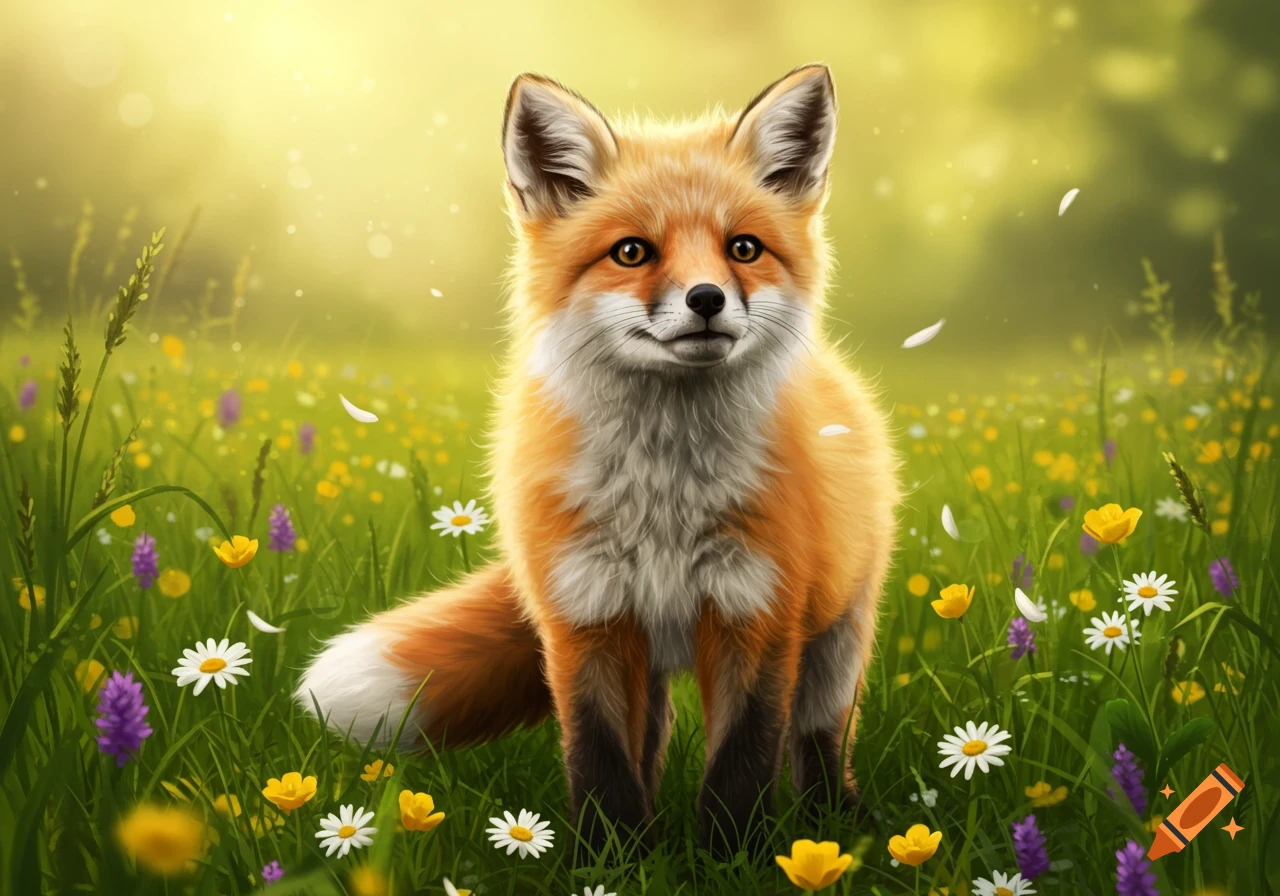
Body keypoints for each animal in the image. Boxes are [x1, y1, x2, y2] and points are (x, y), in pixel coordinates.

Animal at [296, 63, 899, 856]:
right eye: (632, 252)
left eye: (743, 248)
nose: (707, 299)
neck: (666, 494)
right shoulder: (584, 616)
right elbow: (601, 756)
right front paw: (608, 858)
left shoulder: (759, 615)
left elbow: (743, 760)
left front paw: (729, 857)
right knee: (655, 736)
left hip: (836, 639)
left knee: (820, 738)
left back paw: (838, 820)